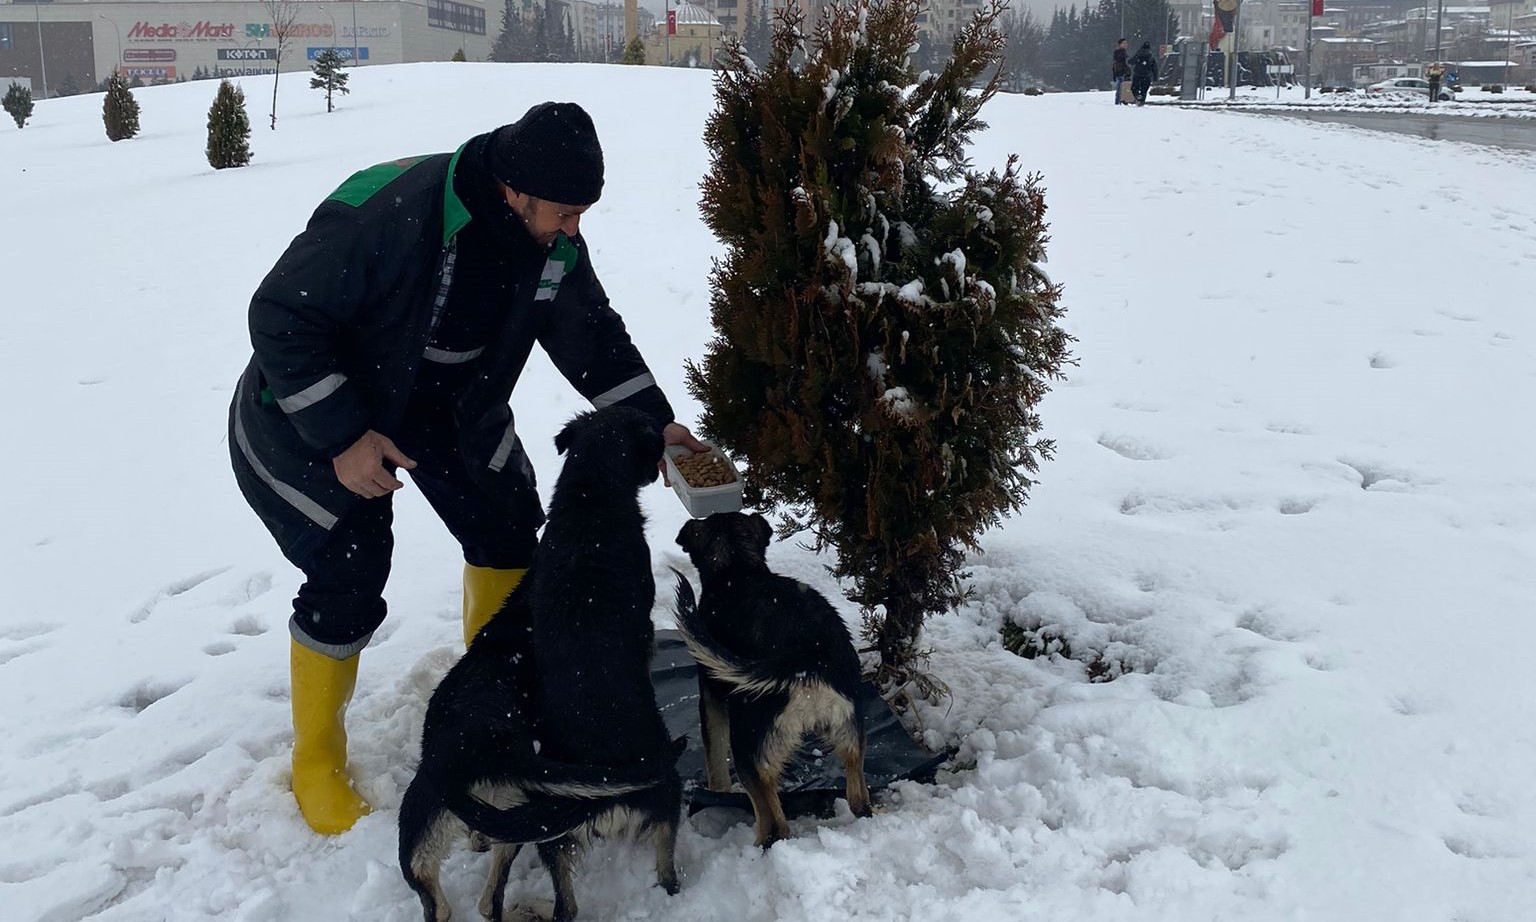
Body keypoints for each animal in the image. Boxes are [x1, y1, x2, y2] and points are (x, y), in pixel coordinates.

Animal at [675, 516, 878, 848]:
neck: (737, 568)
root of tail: (807, 658)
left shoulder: (711, 697)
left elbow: (715, 765)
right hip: (852, 735)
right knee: (859, 801)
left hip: (747, 748)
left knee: (775, 827)